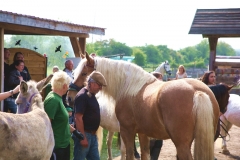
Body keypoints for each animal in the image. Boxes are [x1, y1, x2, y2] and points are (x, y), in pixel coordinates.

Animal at [72, 52, 219, 160]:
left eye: (84, 73)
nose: (71, 96)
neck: (128, 86)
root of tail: (197, 92)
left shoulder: (127, 131)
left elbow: (129, 154)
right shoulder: (142, 133)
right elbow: (144, 154)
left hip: (181, 144)